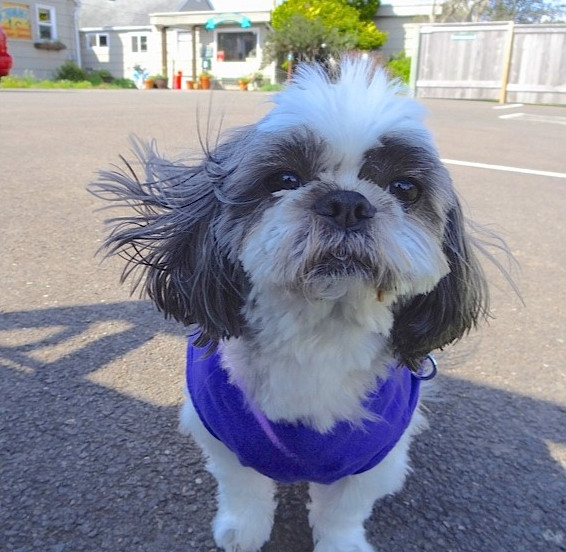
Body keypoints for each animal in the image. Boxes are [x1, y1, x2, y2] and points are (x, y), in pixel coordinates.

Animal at [95, 57, 500, 552]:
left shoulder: (373, 457)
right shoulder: (225, 436)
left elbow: (343, 511)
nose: (347, 202)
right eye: (285, 180)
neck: (318, 334)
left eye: (405, 188)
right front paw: (243, 531)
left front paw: (341, 543)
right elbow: (244, 490)